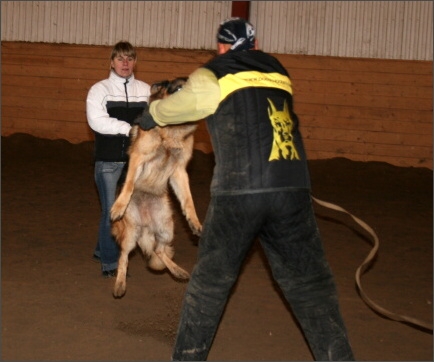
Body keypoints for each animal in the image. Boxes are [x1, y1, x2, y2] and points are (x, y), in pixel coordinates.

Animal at [110, 77, 202, 296]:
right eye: (178, 89)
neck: (171, 132)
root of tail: (146, 224)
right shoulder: (138, 158)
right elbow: (128, 185)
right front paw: (119, 206)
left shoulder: (179, 171)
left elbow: (188, 200)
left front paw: (194, 221)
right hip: (131, 232)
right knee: (124, 255)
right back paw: (120, 283)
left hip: (166, 227)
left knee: (158, 250)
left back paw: (177, 271)